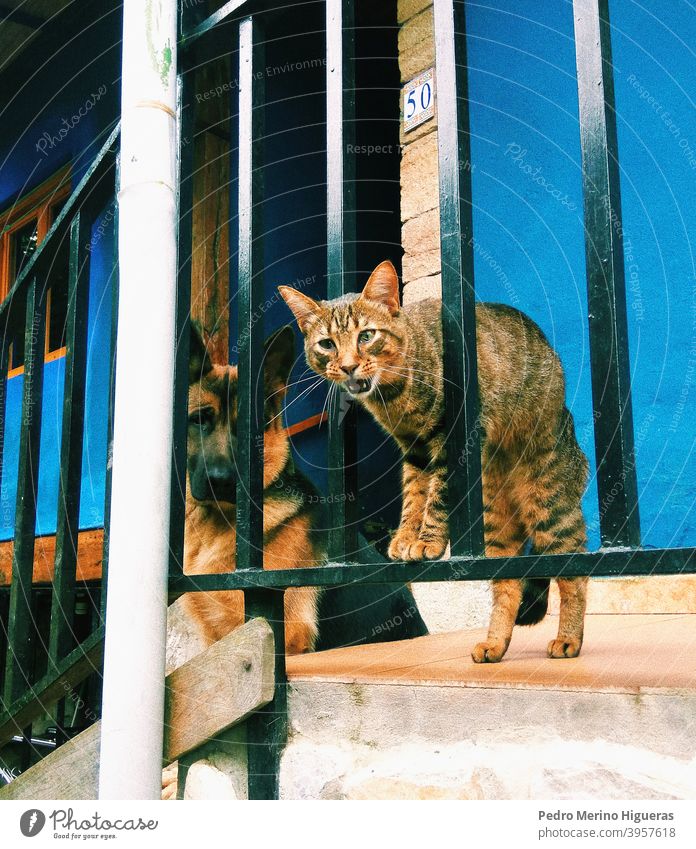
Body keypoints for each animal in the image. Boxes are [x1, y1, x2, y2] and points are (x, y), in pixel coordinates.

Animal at [278, 258, 588, 664]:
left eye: (367, 336)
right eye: (327, 344)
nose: (347, 367)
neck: (394, 394)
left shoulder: (449, 439)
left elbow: (437, 497)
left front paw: (427, 540)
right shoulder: (414, 449)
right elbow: (414, 498)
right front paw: (407, 536)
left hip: (551, 506)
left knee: (575, 572)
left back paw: (568, 638)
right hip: (495, 522)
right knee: (508, 586)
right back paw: (495, 643)